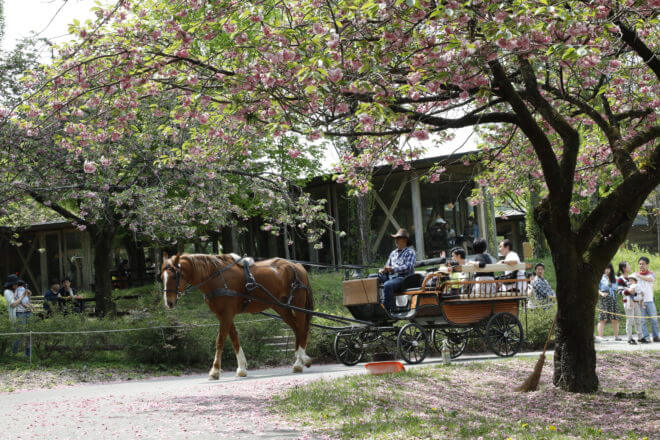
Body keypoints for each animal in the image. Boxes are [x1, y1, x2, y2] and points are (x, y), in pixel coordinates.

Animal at [160, 253, 314, 380]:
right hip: (281, 307)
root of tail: (296, 265)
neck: (216, 277)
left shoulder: (226, 314)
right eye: (162, 277)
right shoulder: (223, 315)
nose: (169, 302)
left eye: (174, 276)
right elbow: (234, 339)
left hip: (298, 306)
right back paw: (300, 359)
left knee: (302, 329)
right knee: (296, 329)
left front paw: (215, 371)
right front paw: (241, 368)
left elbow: (220, 340)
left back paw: (300, 361)